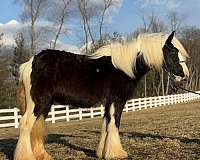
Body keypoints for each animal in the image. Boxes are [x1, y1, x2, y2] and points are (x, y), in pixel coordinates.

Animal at [14, 31, 189, 160]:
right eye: (173, 51)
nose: (185, 75)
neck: (124, 68)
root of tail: (30, 63)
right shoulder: (117, 100)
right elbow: (114, 124)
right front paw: (117, 153)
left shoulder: (108, 102)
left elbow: (106, 125)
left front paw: (103, 153)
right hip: (38, 103)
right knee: (26, 124)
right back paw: (25, 157)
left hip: (45, 104)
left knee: (36, 126)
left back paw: (42, 155)